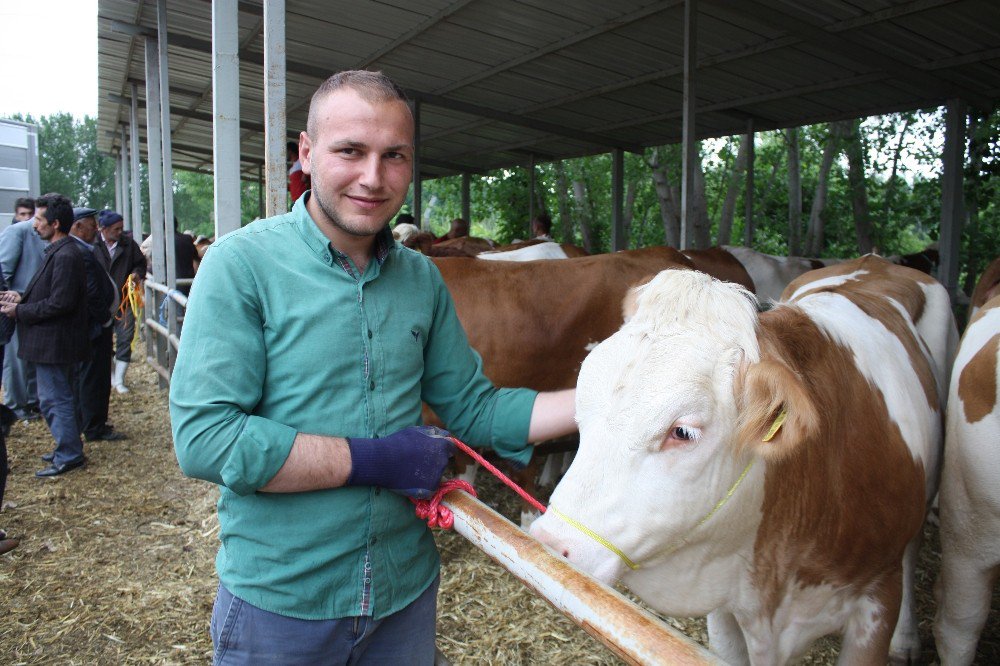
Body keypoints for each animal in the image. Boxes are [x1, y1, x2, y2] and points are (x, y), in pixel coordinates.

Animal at [528, 255, 956, 664]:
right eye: (581, 404)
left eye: (682, 432)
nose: (548, 543)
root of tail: (875, 261)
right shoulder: (725, 607)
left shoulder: (876, 600)